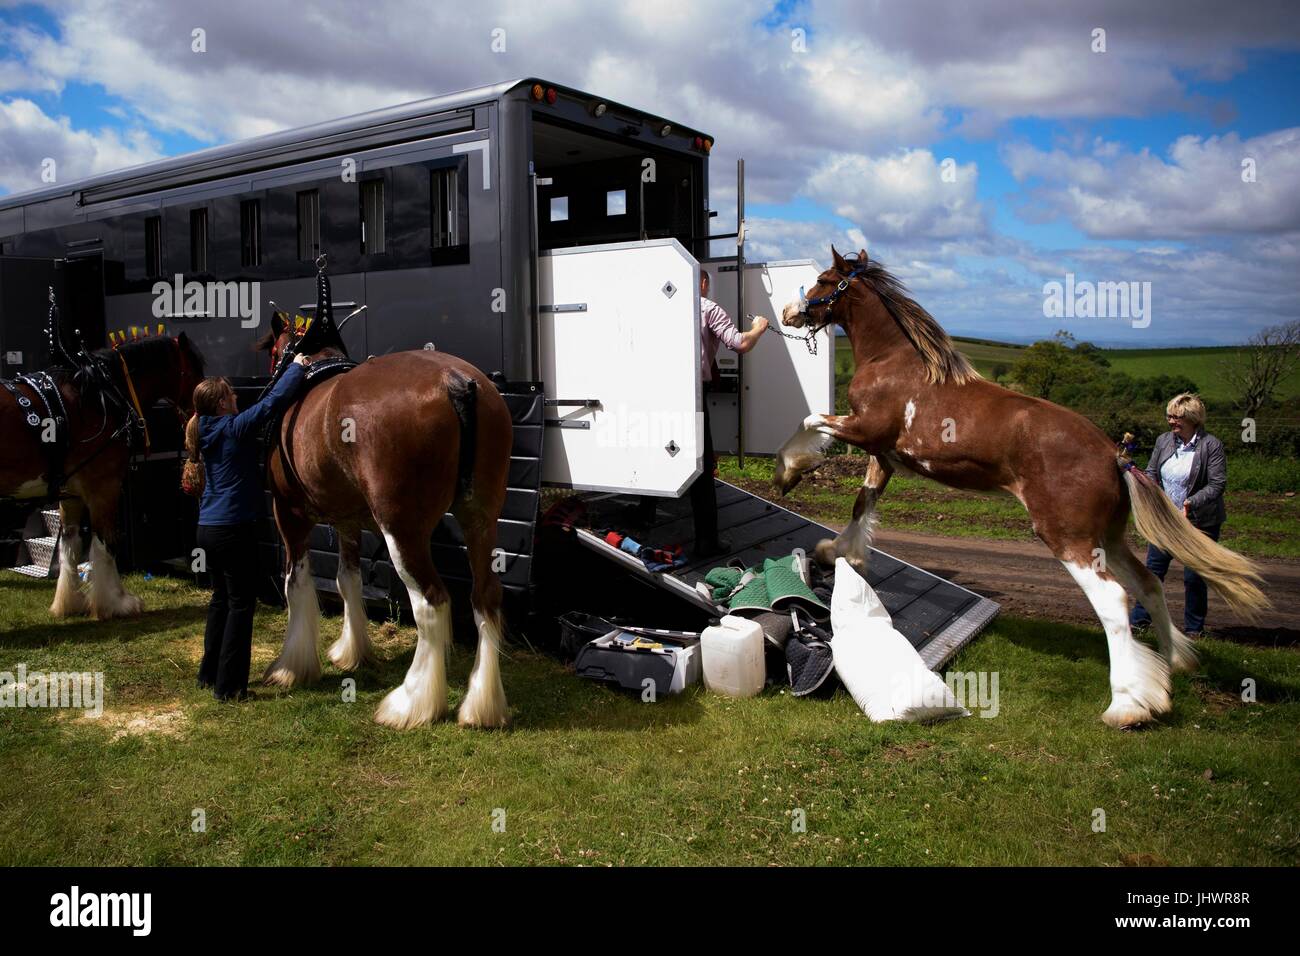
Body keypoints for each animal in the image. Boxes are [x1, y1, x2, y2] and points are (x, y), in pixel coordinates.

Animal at [0, 333, 205, 619]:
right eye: (196, 369)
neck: (98, 397)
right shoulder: (104, 486)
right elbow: (105, 541)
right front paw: (117, 602)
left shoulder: (71, 494)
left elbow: (70, 545)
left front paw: (71, 602)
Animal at [253, 311, 515, 729]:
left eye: (275, 352)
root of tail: (455, 381)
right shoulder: (346, 522)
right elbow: (347, 581)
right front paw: (352, 650)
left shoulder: (288, 513)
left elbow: (296, 584)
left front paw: (291, 666)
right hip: (481, 519)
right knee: (485, 596)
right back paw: (481, 707)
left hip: (401, 530)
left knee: (431, 603)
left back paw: (412, 703)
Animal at [773, 246, 1268, 729]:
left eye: (822, 281)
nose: (788, 312)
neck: (895, 365)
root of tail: (1114, 455)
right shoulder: (884, 455)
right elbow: (863, 502)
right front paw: (838, 551)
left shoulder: (865, 430)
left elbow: (810, 420)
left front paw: (789, 472)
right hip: (1108, 538)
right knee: (1148, 584)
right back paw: (1172, 666)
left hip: (1068, 537)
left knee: (1113, 599)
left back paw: (1126, 707)